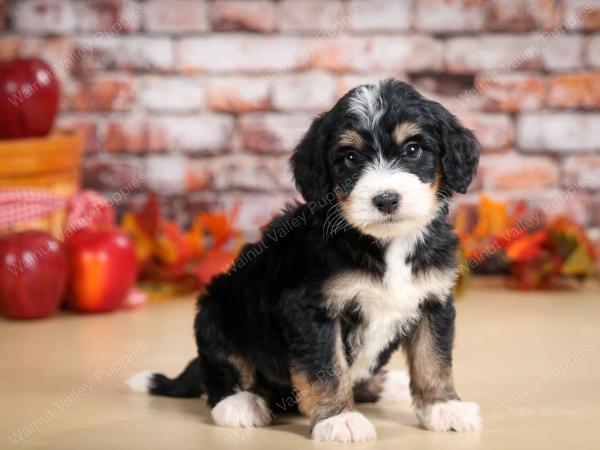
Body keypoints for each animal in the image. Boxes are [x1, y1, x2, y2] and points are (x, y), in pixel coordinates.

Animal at [127, 79, 482, 442]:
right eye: (350, 157)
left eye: (412, 150)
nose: (386, 200)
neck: (386, 244)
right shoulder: (310, 310)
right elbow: (327, 367)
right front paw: (339, 419)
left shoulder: (434, 302)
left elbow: (433, 358)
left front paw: (443, 406)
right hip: (214, 311)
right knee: (220, 368)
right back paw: (239, 403)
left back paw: (386, 384)